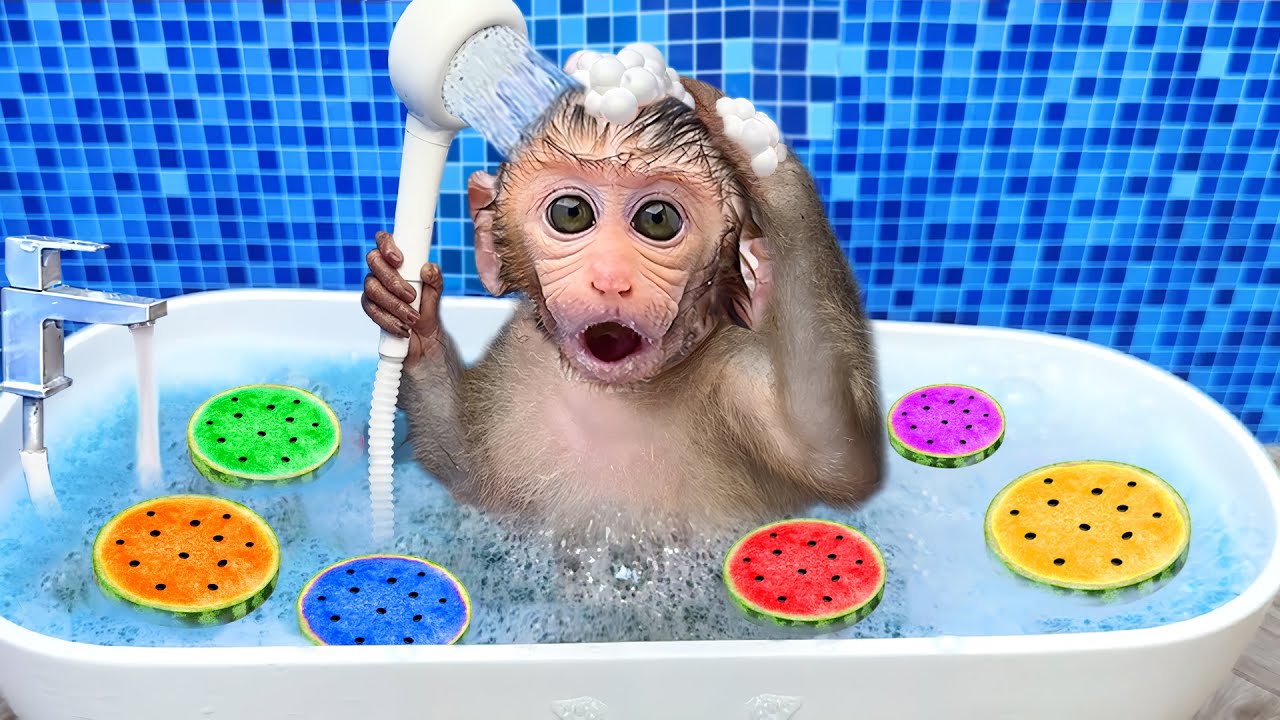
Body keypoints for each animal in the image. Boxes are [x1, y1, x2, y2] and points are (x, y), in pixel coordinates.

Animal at [361, 76, 885, 540]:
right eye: (570, 213)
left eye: (657, 219)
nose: (611, 279)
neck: (615, 396)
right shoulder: (516, 358)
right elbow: (467, 470)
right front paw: (409, 316)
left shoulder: (736, 375)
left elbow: (833, 453)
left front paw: (764, 161)